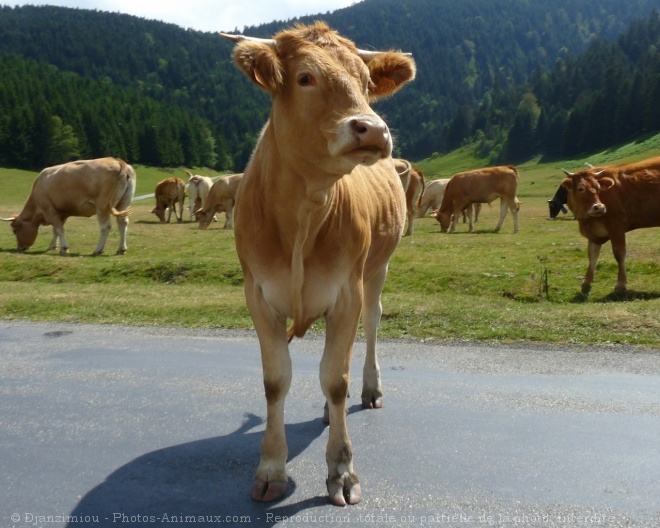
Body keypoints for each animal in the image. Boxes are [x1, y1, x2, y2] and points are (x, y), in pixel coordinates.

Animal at [0, 157, 135, 256]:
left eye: (15, 230)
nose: (20, 248)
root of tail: (117, 161)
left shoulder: (50, 210)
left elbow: (59, 229)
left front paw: (64, 248)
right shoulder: (62, 213)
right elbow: (56, 230)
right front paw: (53, 246)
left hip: (102, 206)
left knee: (105, 227)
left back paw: (98, 249)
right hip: (124, 203)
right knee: (123, 223)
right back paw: (121, 249)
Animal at [219, 22, 416, 506]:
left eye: (365, 83)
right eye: (305, 78)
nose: (373, 129)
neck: (305, 212)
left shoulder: (346, 292)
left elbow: (336, 379)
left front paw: (342, 470)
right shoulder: (259, 295)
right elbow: (276, 381)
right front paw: (271, 467)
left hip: (376, 271)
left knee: (369, 327)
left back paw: (369, 389)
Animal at [564, 157, 660, 296]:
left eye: (598, 187)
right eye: (580, 188)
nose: (599, 207)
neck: (587, 221)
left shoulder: (616, 226)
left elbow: (619, 254)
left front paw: (620, 285)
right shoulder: (594, 233)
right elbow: (592, 255)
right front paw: (586, 283)